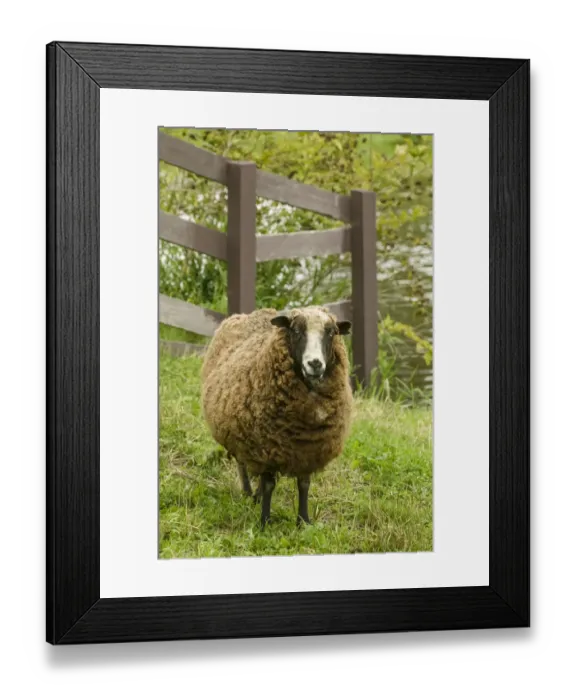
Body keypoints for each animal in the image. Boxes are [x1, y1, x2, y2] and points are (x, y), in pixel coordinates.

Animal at [200, 305, 353, 528]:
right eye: (296, 331)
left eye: (332, 332)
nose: (315, 364)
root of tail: (248, 313)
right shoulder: (264, 446)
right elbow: (269, 484)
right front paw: (264, 522)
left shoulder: (309, 450)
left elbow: (304, 484)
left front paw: (303, 522)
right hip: (238, 435)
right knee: (242, 464)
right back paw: (247, 493)